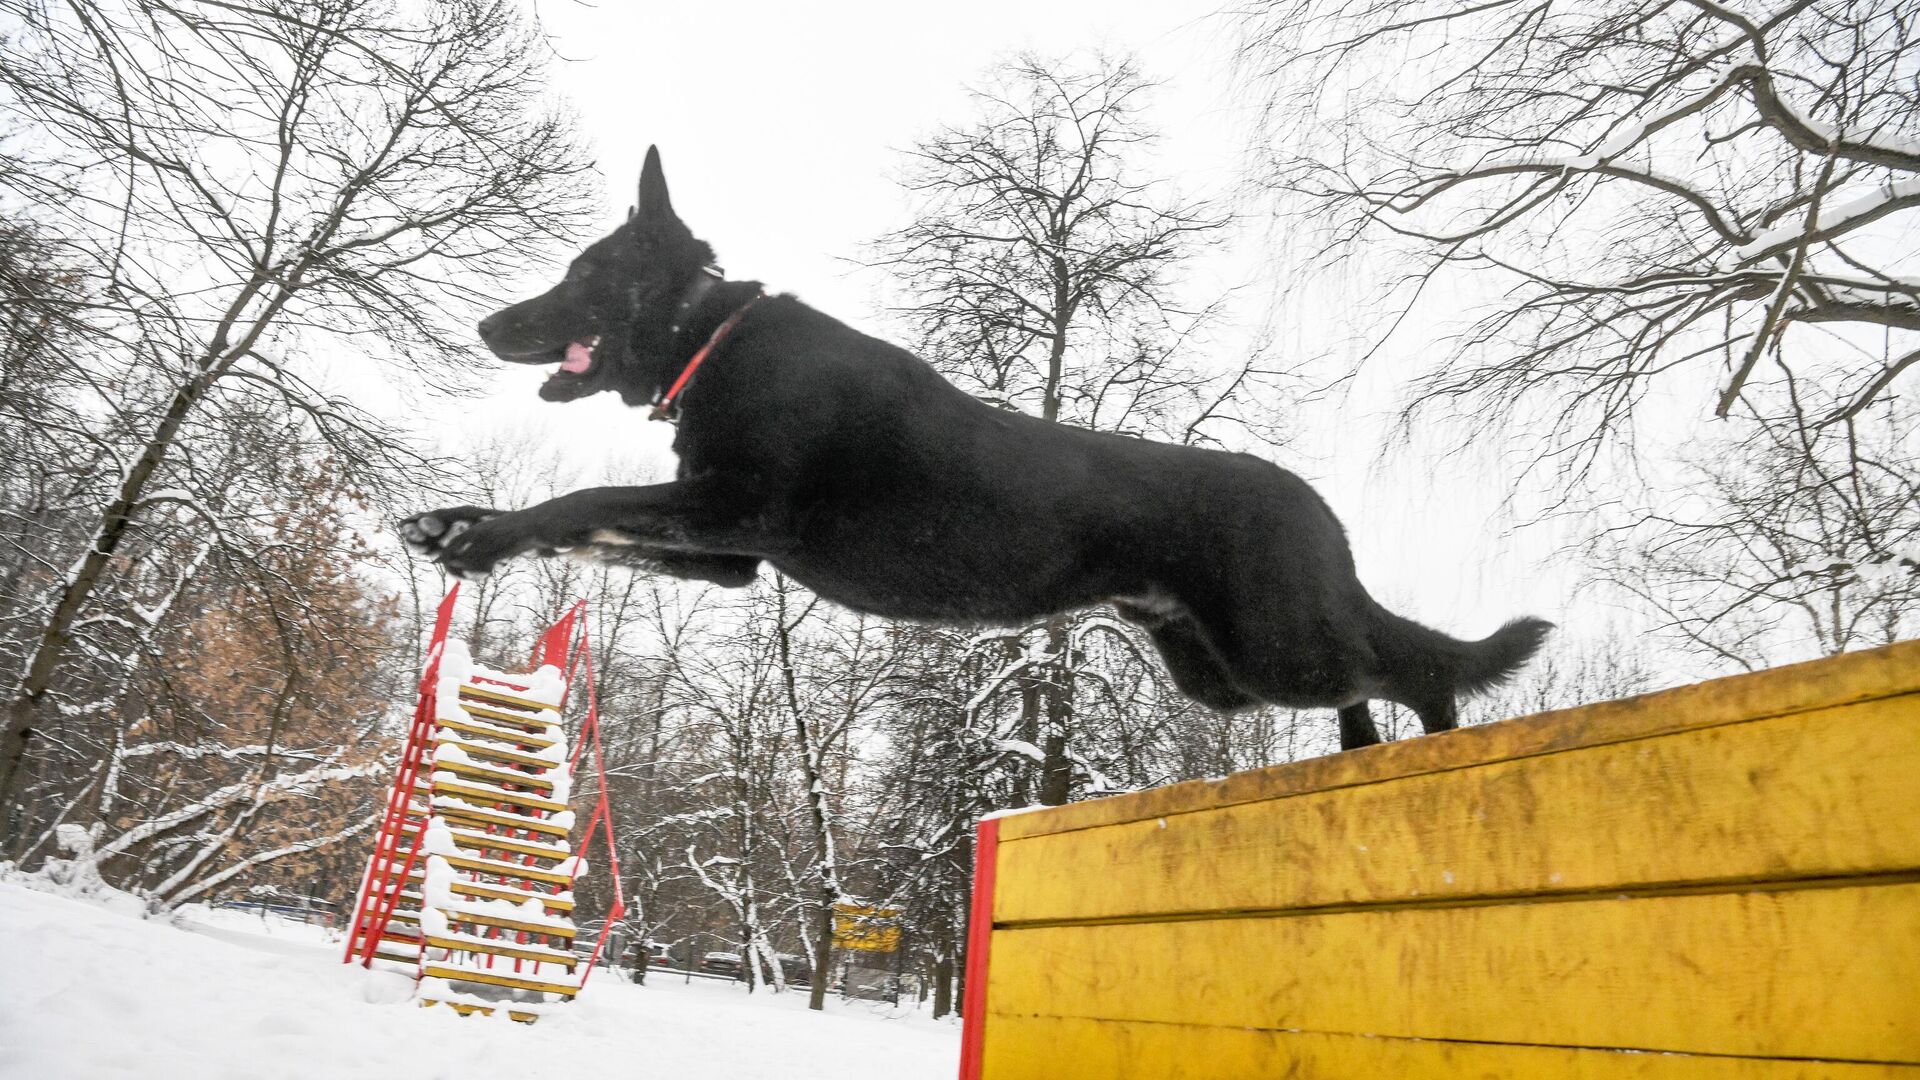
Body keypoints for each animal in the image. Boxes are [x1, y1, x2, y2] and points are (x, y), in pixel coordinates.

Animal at [397, 145, 1551, 749]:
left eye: (582, 273)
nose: (486, 327)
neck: (711, 335)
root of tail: (1319, 507)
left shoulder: (735, 512)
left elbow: (579, 500)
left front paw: (482, 538)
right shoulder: (725, 555)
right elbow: (588, 527)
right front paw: (459, 524)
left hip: (1277, 645)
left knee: (1402, 664)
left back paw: (1444, 738)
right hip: (1221, 673)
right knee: (1365, 680)